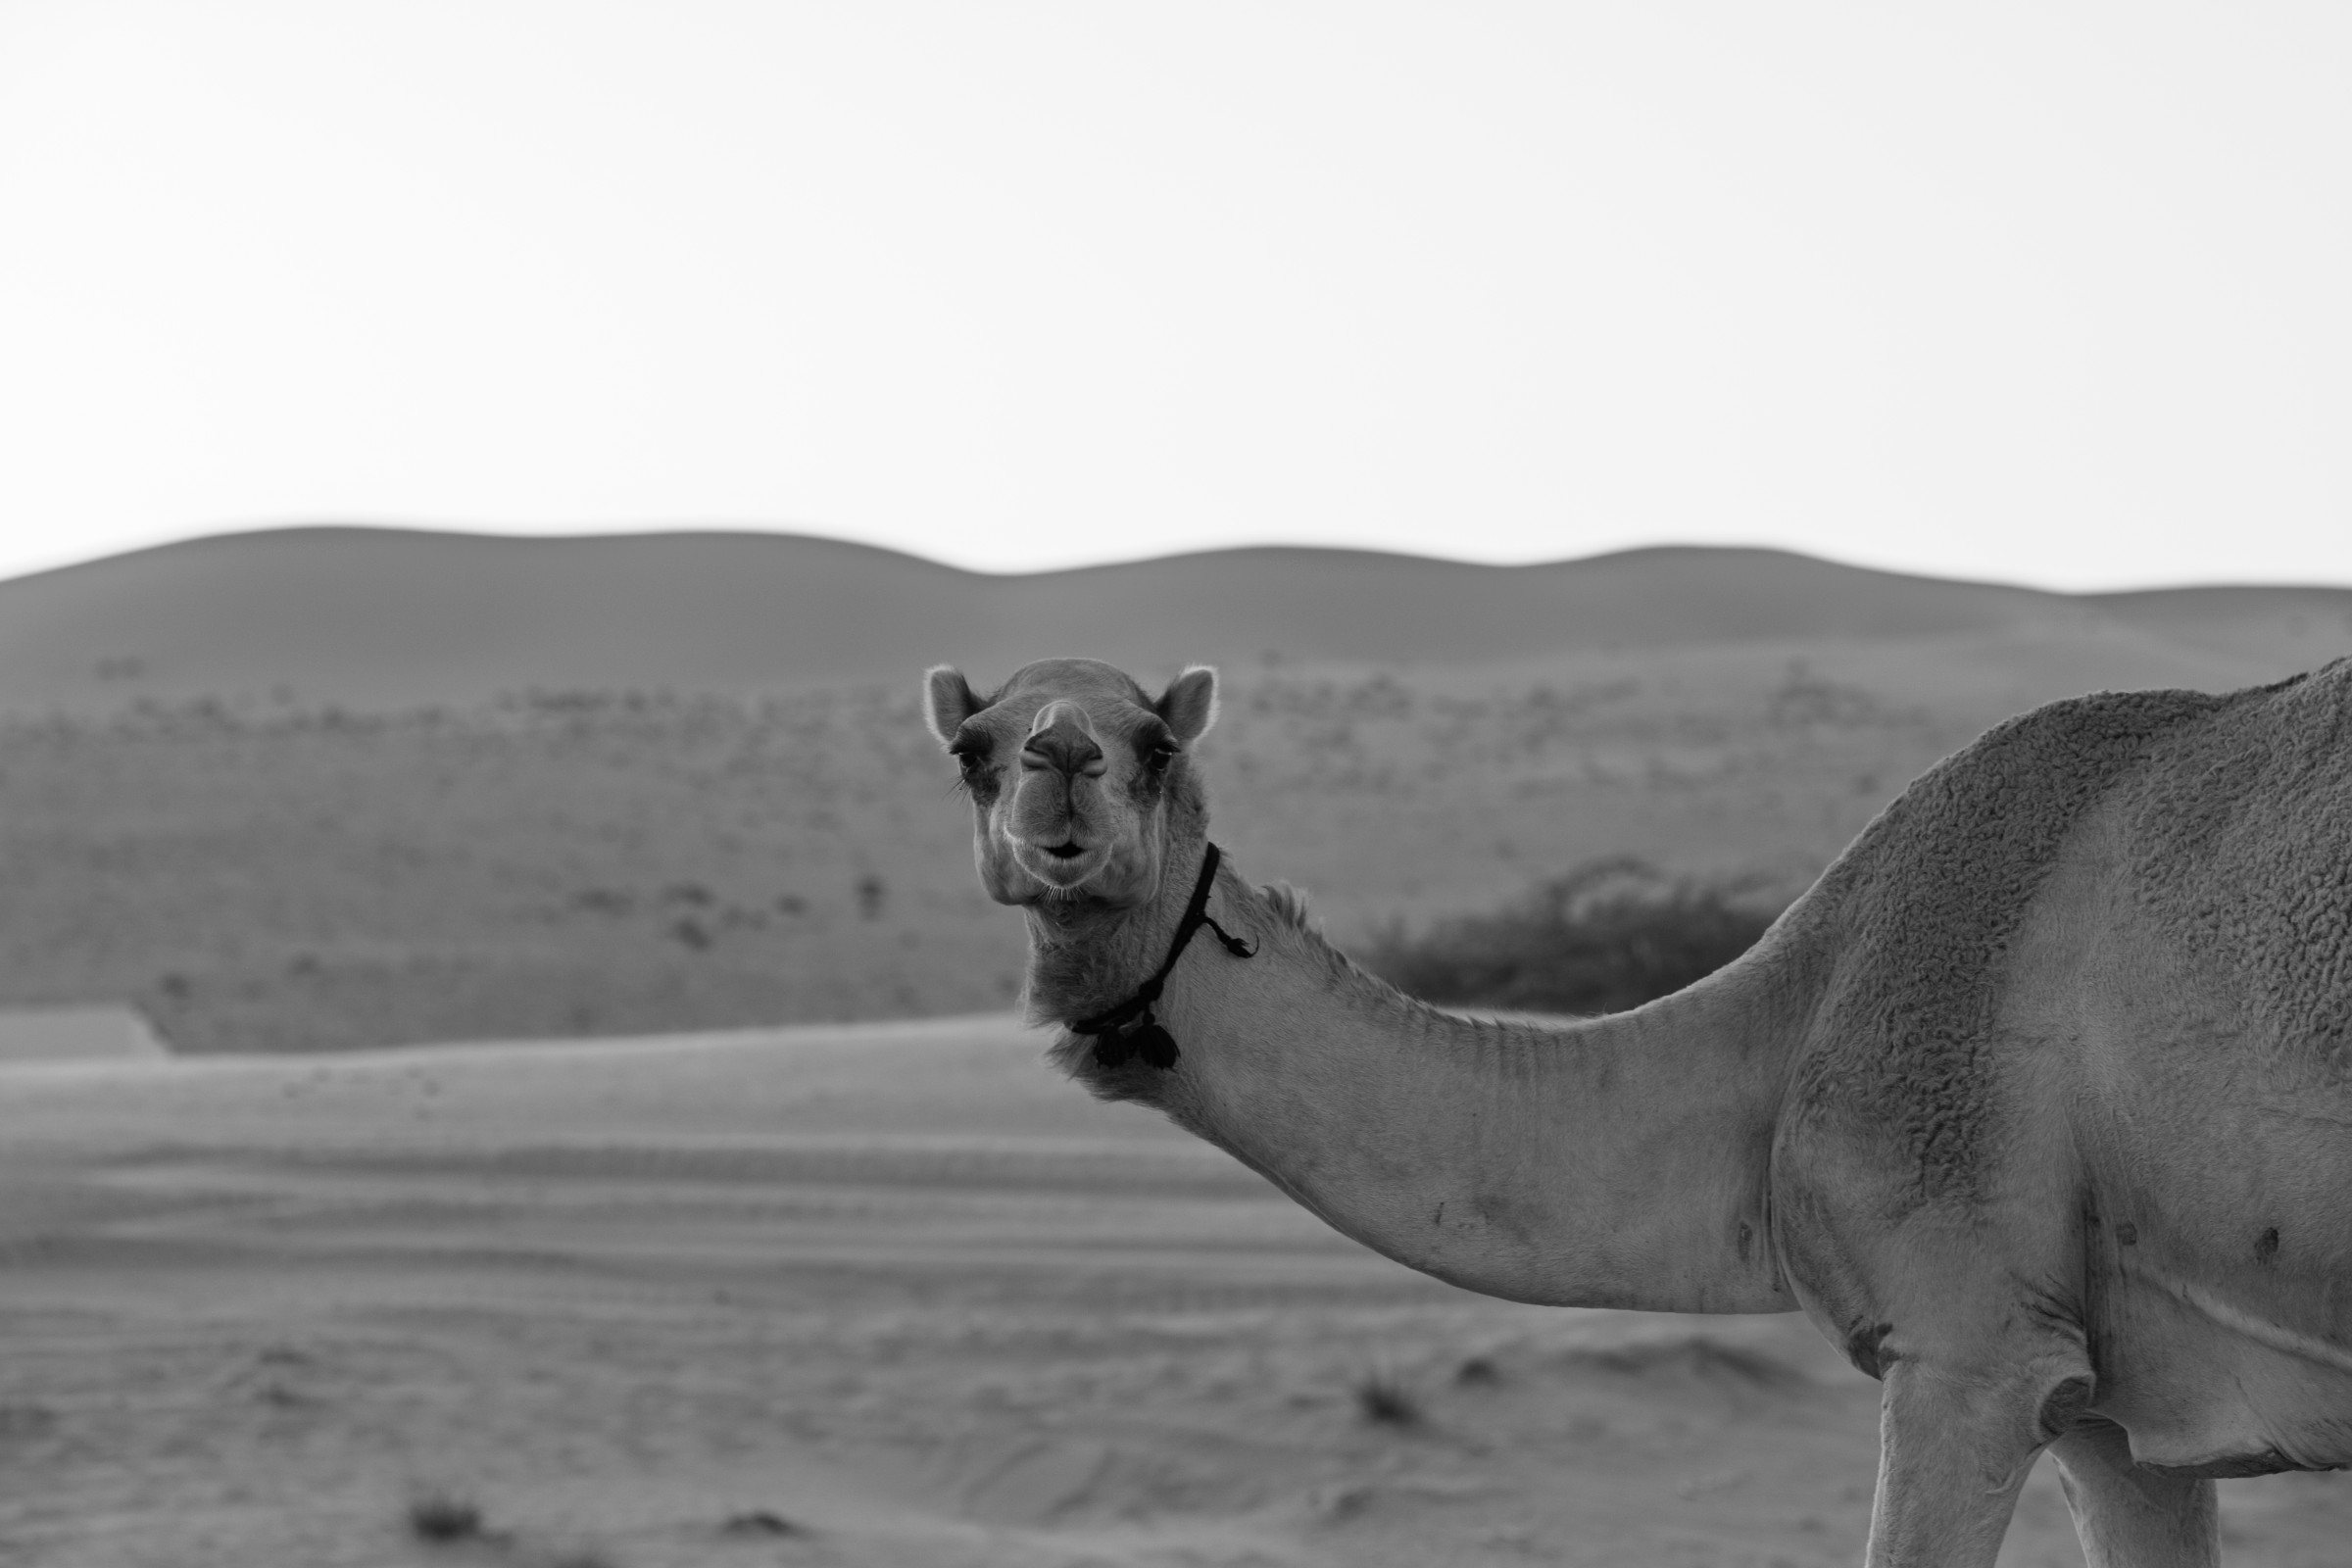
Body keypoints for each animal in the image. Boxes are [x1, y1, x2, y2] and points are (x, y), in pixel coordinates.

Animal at [924, 654, 2352, 1567]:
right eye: (972, 750)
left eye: (1157, 746)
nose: (1060, 765)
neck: (1799, 1010)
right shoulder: (2125, 1420)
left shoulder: (1972, 1347)